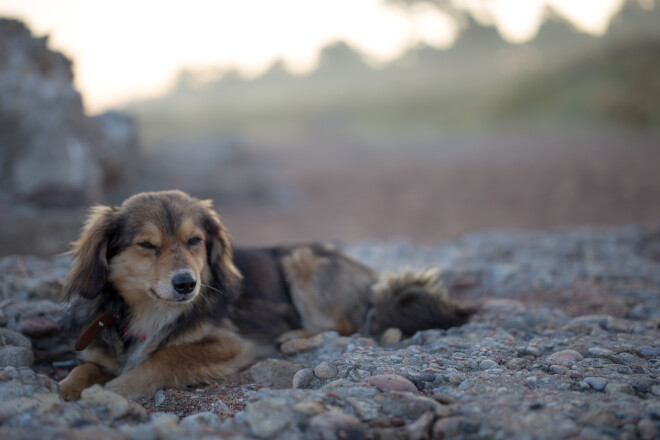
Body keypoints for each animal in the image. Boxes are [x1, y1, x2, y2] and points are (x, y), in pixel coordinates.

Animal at [55, 191, 470, 400]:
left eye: (194, 241)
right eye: (147, 245)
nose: (187, 284)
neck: (150, 311)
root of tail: (370, 276)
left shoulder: (231, 343)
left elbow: (166, 357)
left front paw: (119, 388)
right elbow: (84, 367)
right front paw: (69, 387)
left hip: (301, 261)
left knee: (347, 327)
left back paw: (295, 338)